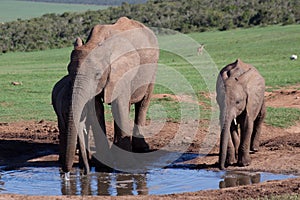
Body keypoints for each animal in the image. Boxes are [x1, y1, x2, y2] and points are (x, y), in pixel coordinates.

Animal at [53, 16, 159, 173]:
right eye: (68, 71)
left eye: (97, 74)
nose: (66, 171)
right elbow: (95, 110)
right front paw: (103, 166)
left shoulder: (121, 72)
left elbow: (119, 105)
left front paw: (126, 167)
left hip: (152, 67)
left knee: (143, 103)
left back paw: (142, 148)